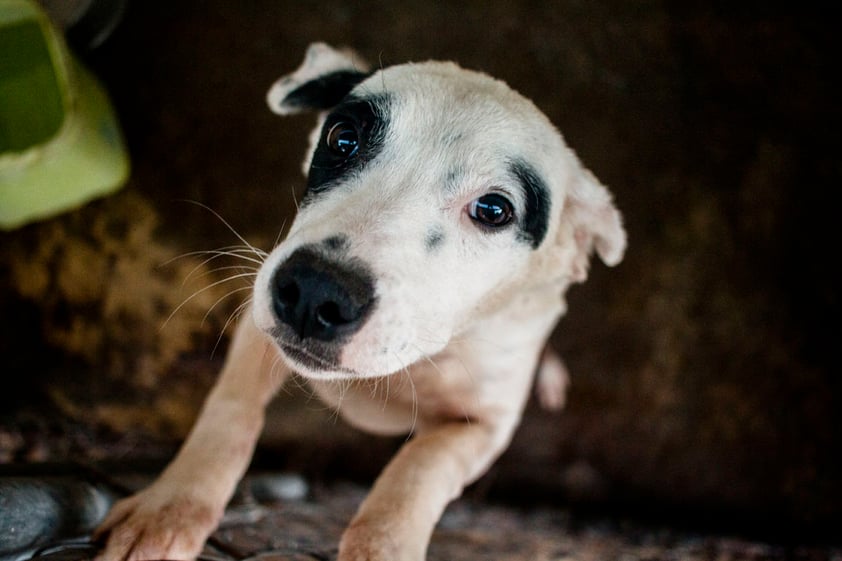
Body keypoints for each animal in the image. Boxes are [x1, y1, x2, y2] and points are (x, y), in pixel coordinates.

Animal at [97, 43, 624, 560]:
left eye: (494, 209)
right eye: (342, 139)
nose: (314, 292)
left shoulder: (486, 423)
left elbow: (420, 469)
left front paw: (383, 543)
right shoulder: (257, 326)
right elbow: (229, 414)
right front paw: (168, 513)